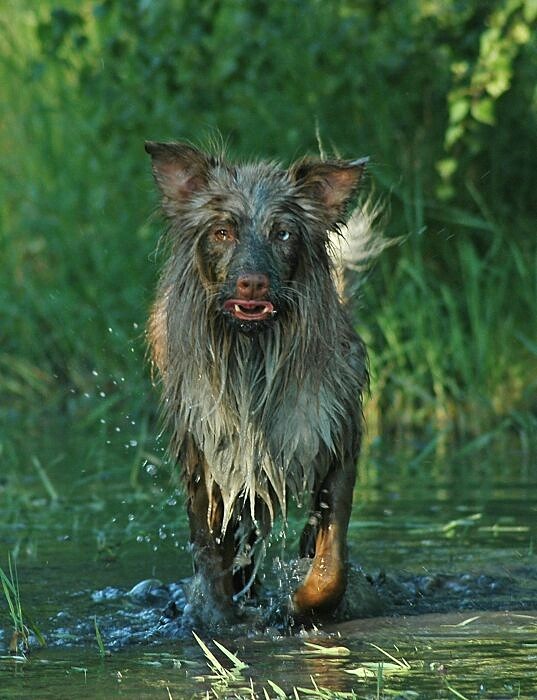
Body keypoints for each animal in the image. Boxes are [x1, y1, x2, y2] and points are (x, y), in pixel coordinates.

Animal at [143, 142, 368, 624]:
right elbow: (211, 553)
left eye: (282, 234)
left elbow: (331, 561)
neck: (252, 360)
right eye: (222, 232)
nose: (252, 283)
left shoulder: (336, 439)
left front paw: (302, 604)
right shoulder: (208, 461)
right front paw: (218, 616)